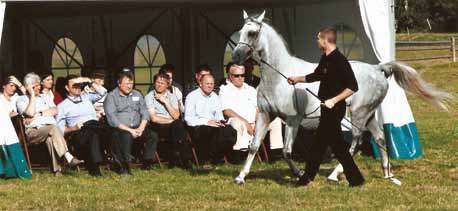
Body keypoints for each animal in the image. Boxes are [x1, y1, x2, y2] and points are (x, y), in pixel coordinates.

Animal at [233, 10, 450, 185]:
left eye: (252, 33)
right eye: (241, 30)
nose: (236, 57)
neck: (280, 77)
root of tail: (378, 68)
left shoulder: (293, 120)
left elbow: (286, 151)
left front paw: (299, 173)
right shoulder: (265, 115)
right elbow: (253, 146)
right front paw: (241, 177)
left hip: (359, 114)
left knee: (355, 142)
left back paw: (335, 175)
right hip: (369, 115)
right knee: (380, 138)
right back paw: (387, 174)